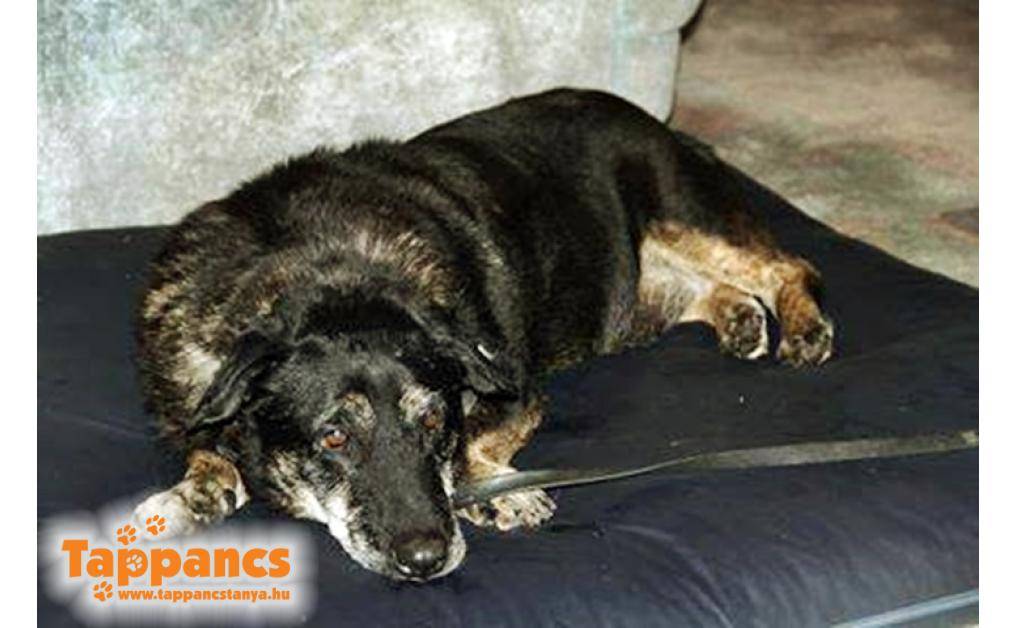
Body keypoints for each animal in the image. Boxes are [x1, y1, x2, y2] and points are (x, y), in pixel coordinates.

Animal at [133, 88, 833, 581]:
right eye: (333, 437)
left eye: (434, 423)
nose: (426, 560)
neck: (319, 277)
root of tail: (662, 124)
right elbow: (210, 459)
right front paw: (187, 498)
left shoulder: (514, 390)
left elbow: (477, 445)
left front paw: (499, 497)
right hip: (629, 304)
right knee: (708, 290)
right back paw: (740, 318)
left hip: (682, 216)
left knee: (789, 266)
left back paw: (802, 325)